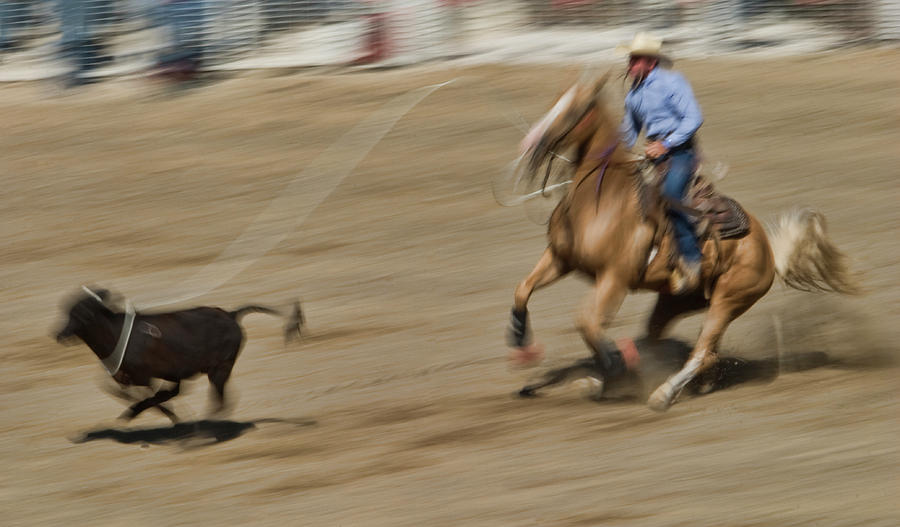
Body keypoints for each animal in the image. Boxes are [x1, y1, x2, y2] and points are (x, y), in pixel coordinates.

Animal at [506, 73, 856, 412]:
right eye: (554, 101)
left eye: (575, 110)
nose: (531, 143)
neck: (600, 198)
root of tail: (769, 251)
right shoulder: (560, 259)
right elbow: (523, 289)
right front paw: (521, 341)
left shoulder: (614, 278)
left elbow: (587, 321)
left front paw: (612, 365)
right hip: (676, 300)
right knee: (679, 345)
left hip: (728, 301)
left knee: (701, 352)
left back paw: (660, 393)